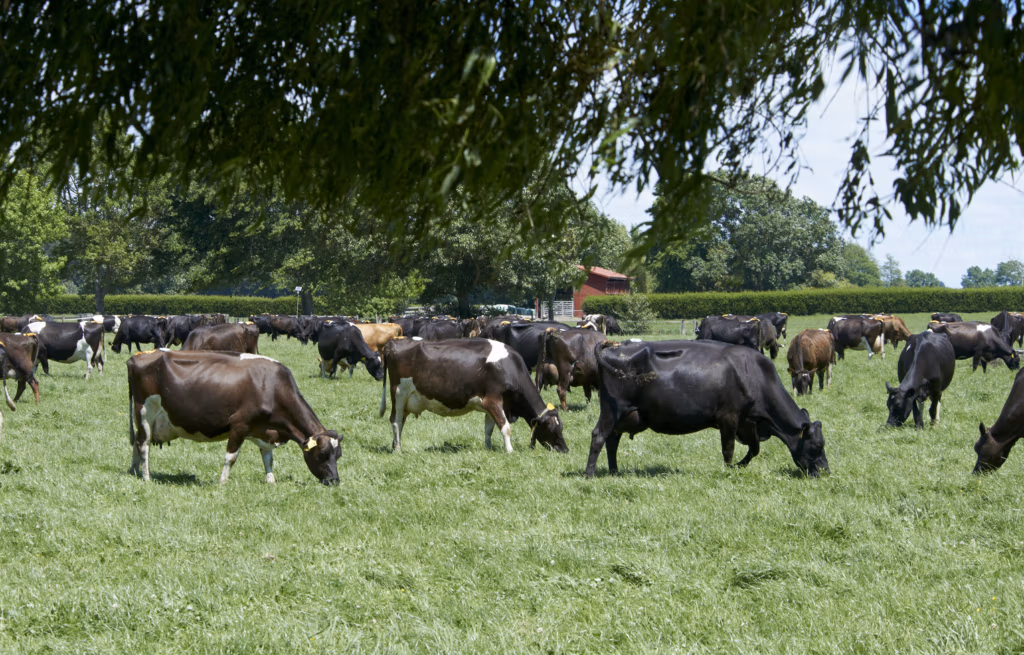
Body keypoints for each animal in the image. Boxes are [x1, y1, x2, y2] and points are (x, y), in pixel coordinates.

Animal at [127, 350, 342, 484]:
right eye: (323, 454)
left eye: (338, 455)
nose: (334, 481)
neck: (270, 387)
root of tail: (138, 356)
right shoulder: (240, 424)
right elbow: (231, 457)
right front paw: (222, 483)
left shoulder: (264, 430)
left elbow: (268, 459)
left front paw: (271, 482)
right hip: (145, 412)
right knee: (144, 445)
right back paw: (146, 477)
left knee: (137, 442)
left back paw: (134, 472)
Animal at [379, 337, 568, 453]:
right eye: (550, 427)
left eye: (562, 427)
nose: (565, 449)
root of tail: (394, 342)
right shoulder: (493, 401)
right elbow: (505, 427)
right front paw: (509, 450)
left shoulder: (491, 405)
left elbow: (489, 429)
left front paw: (488, 448)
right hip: (399, 393)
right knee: (395, 421)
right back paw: (398, 449)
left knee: (400, 421)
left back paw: (395, 445)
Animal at [586, 339, 829, 478]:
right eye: (817, 446)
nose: (826, 472)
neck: (755, 375)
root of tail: (613, 347)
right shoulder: (729, 417)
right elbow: (728, 449)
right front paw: (728, 471)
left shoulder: (747, 421)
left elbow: (754, 449)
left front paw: (738, 467)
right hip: (612, 409)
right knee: (599, 436)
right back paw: (590, 474)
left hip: (624, 415)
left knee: (612, 440)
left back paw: (614, 471)